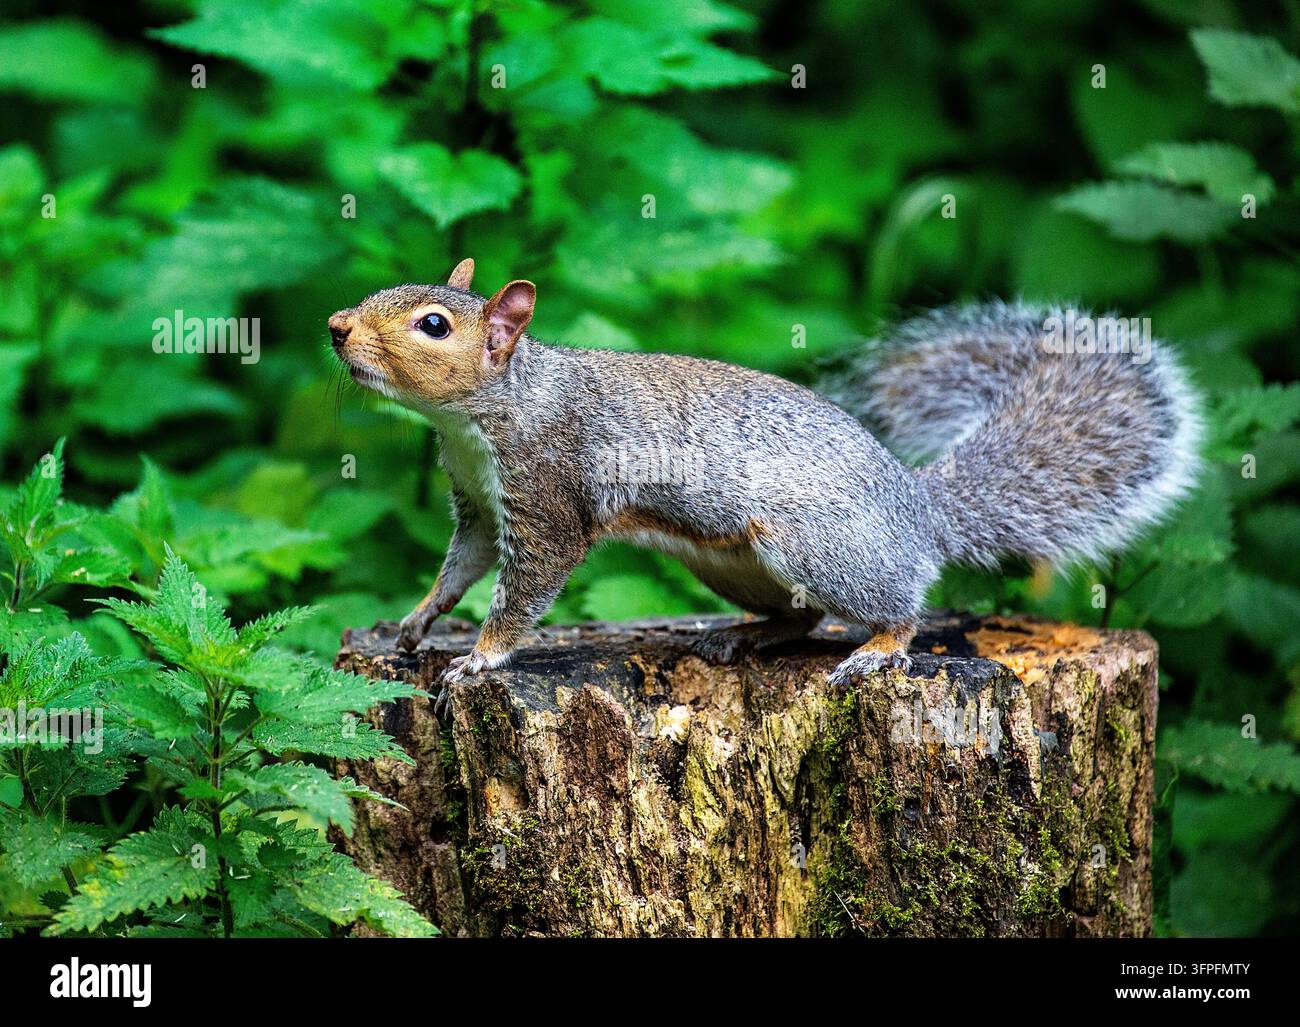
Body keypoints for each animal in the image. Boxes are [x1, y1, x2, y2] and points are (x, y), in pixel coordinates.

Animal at [329, 258, 1202, 713]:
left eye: (434, 325)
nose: (337, 327)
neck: (487, 411)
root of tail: (917, 510)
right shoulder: (480, 504)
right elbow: (460, 567)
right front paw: (417, 621)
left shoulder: (547, 498)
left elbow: (522, 590)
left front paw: (480, 659)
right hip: (730, 563)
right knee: (804, 616)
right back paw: (743, 636)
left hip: (813, 543)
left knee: (896, 610)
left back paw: (876, 651)